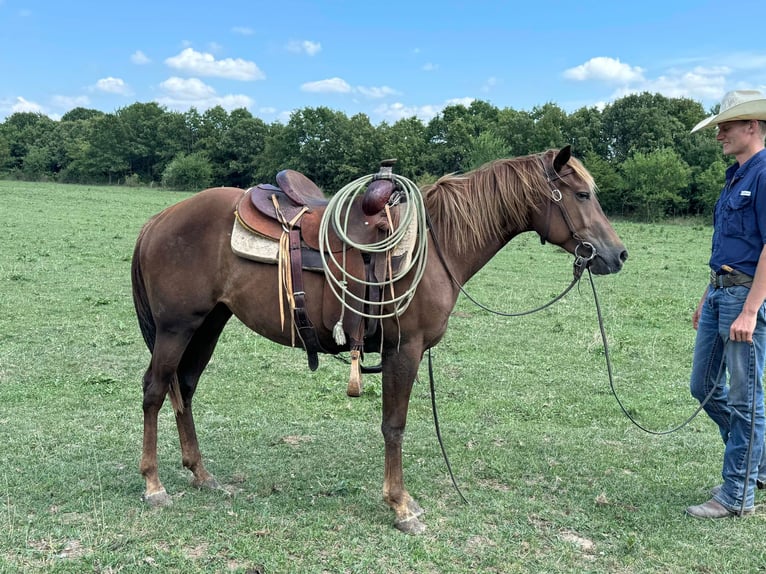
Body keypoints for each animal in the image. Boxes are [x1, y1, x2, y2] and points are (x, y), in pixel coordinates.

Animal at [129, 145, 628, 536]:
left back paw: (200, 473)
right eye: (583, 194)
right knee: (155, 389)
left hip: (209, 323)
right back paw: (154, 485)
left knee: (183, 387)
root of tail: (158, 219)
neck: (438, 247)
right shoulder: (404, 349)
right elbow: (395, 426)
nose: (617, 254)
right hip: (176, 327)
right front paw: (401, 506)